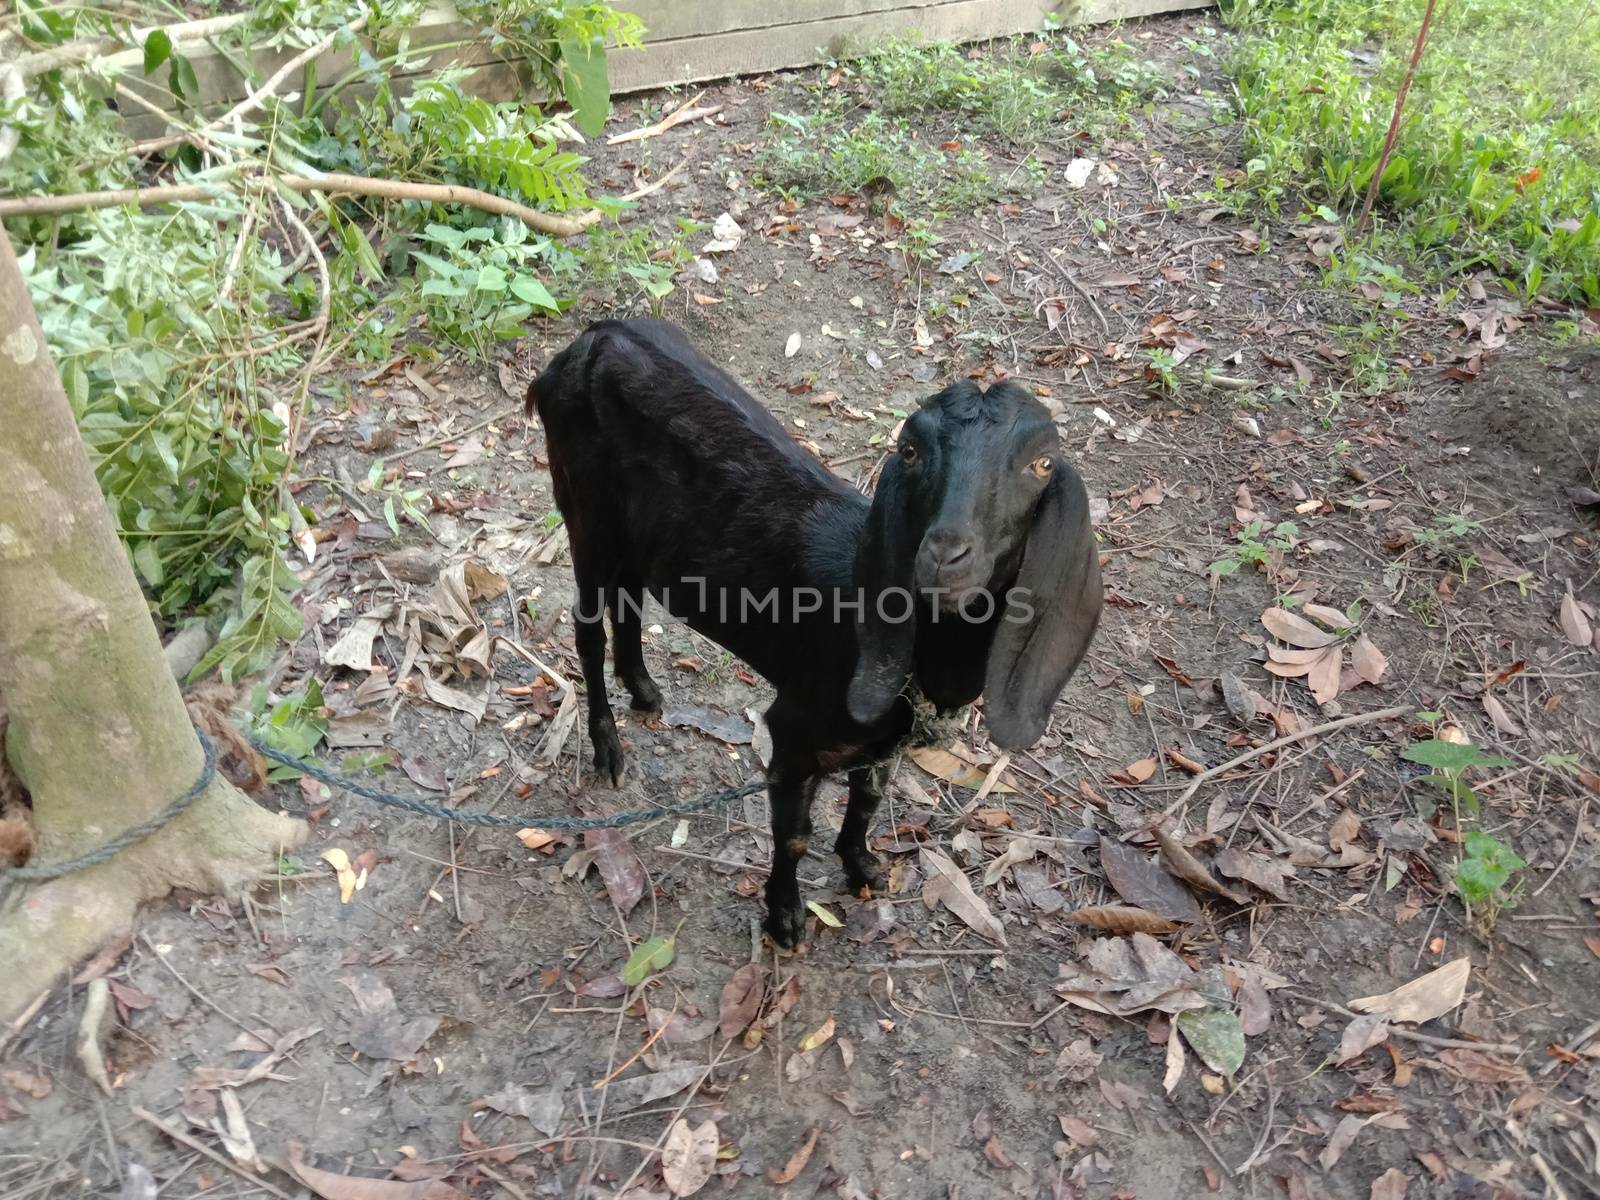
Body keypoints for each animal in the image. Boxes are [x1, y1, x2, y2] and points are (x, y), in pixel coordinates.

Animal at [531, 320, 1107, 947]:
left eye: (1042, 464)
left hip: (637, 534)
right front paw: (785, 918)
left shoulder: (882, 743)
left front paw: (862, 868)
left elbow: (869, 798)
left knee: (631, 601)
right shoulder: (794, 731)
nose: (944, 556)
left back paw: (643, 690)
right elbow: (795, 833)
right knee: (588, 628)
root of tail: (595, 336)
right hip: (583, 507)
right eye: (910, 451)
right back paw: (608, 749)